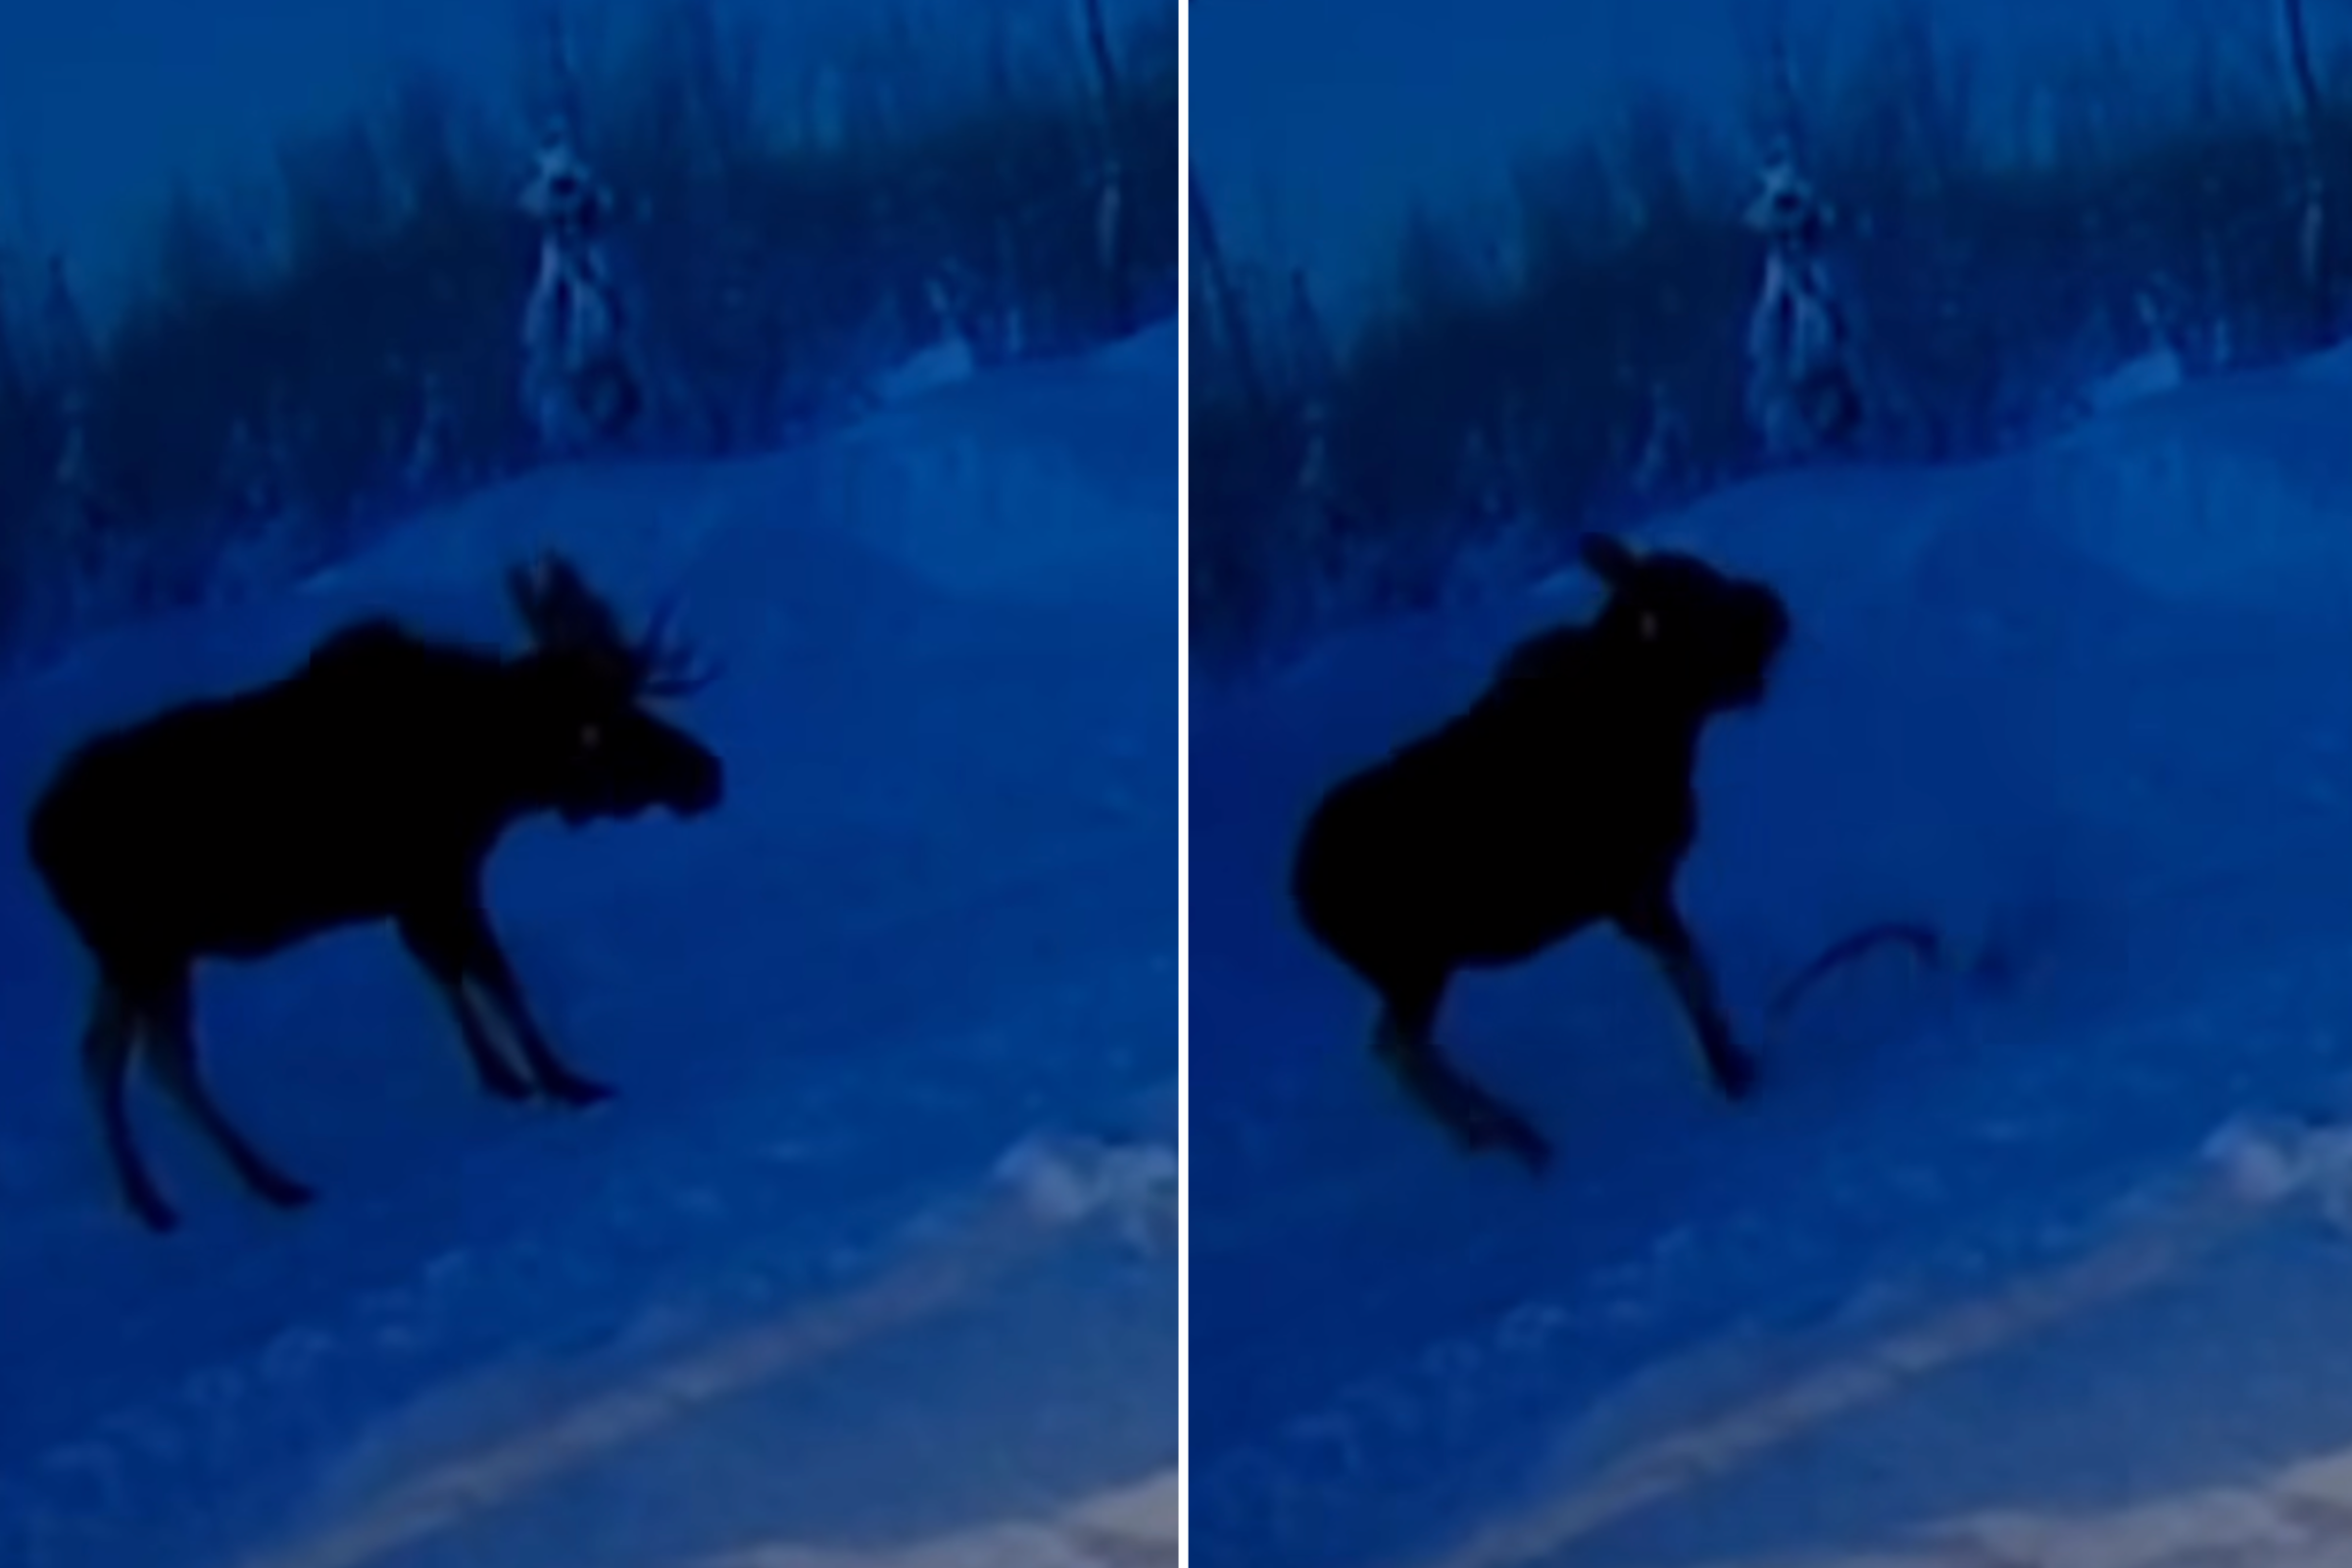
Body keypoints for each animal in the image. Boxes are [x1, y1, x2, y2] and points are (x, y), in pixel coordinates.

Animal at [24, 557, 724, 1231]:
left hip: (122, 961)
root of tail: (38, 839)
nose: (706, 773)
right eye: (610, 722)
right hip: (151, 951)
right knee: (164, 1062)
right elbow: (496, 978)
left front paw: (503, 1077)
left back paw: (151, 1202)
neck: (487, 769)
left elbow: (445, 974)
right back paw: (273, 1182)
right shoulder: (439, 878)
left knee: (97, 1058)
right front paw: (566, 1081)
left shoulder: (417, 895)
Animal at [1298, 533, 1788, 1170]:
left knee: (1396, 1047)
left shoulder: (1647, 893)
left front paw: (1733, 1058)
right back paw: (1509, 1134)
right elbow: (1692, 973)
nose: (1775, 608)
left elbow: (1694, 970)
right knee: (1393, 1048)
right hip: (1417, 968)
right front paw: (1730, 1071)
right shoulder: (1636, 894)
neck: (1668, 725)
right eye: (1699, 596)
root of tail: (1303, 899)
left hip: (1416, 973)